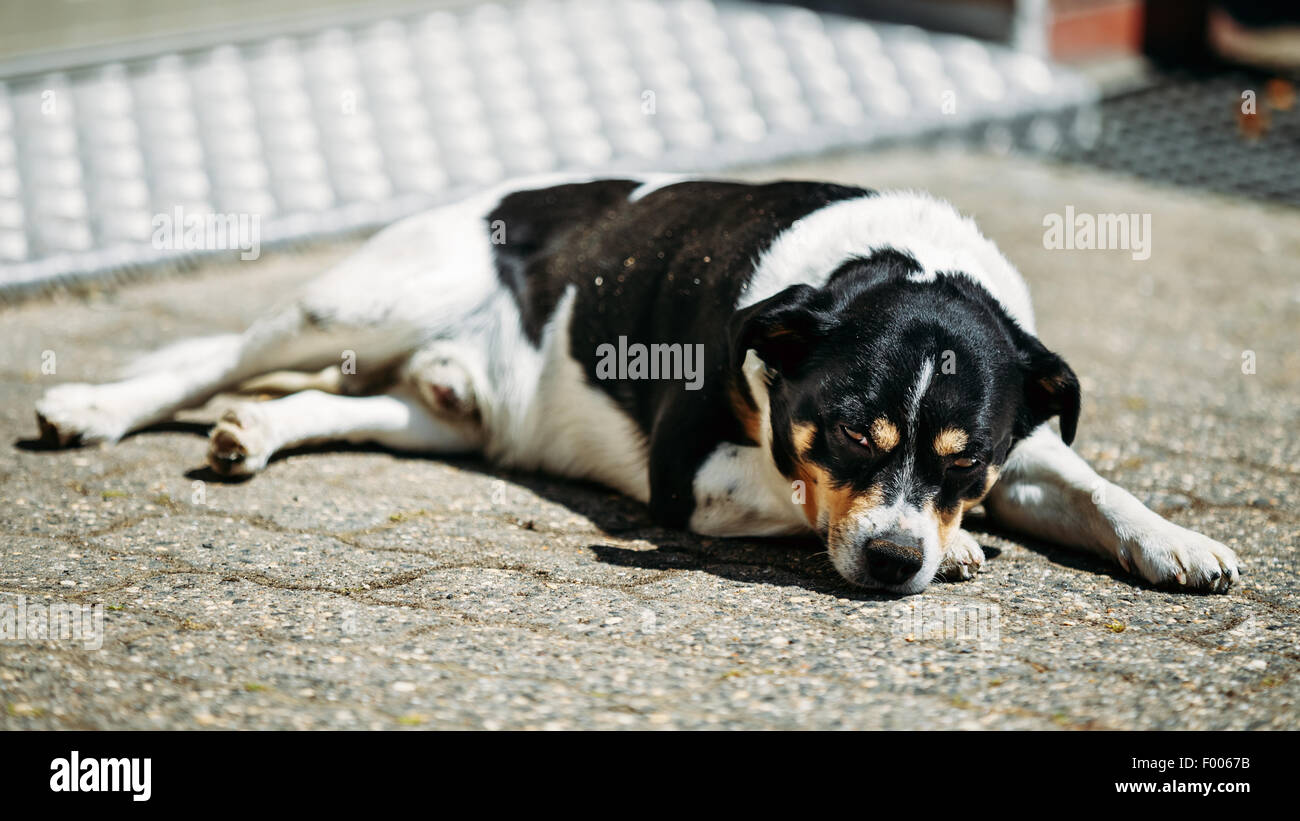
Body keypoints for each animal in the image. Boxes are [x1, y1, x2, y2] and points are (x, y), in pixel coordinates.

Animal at [32, 176, 1237, 592]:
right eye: (851, 433)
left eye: (966, 457)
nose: (898, 562)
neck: (889, 261)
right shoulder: (692, 471)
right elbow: (791, 493)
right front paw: (963, 547)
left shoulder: (1026, 443)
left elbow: (1096, 487)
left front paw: (1178, 541)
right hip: (358, 305)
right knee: (217, 354)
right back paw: (92, 407)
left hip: (435, 414)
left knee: (338, 403)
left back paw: (256, 436)